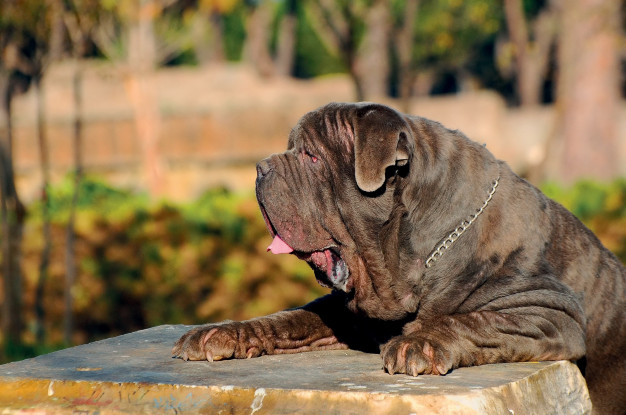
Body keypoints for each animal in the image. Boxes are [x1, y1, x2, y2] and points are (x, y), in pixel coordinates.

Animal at [172, 102, 624, 414]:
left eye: (311, 157)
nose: (260, 167)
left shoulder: (549, 310)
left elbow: (474, 319)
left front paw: (419, 342)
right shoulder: (350, 312)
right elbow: (290, 318)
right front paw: (222, 332)